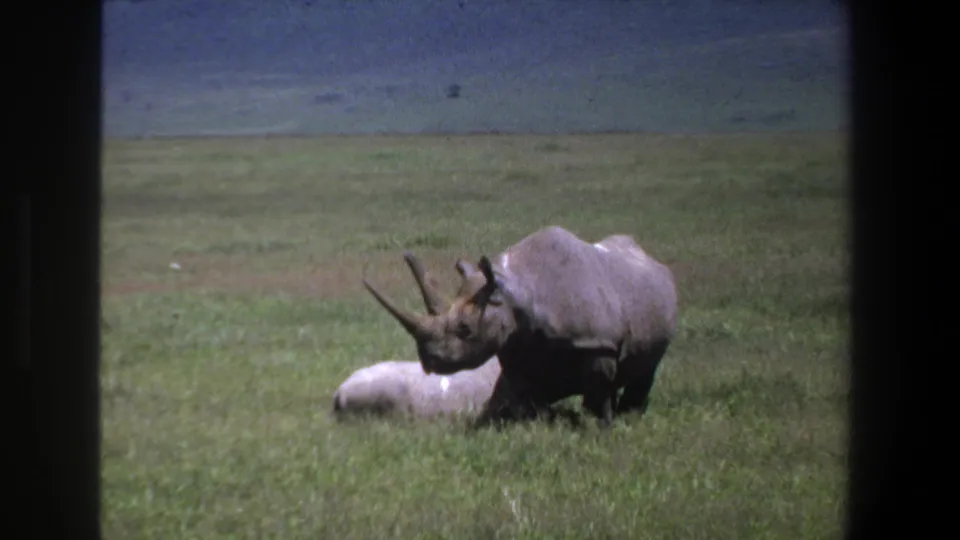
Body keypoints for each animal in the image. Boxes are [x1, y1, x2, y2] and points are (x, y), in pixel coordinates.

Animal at [362, 226, 678, 428]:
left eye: (465, 329)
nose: (429, 361)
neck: (517, 293)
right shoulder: (516, 346)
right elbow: (512, 394)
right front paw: (513, 424)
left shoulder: (597, 342)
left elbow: (598, 390)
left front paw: (600, 427)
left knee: (646, 368)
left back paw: (630, 415)